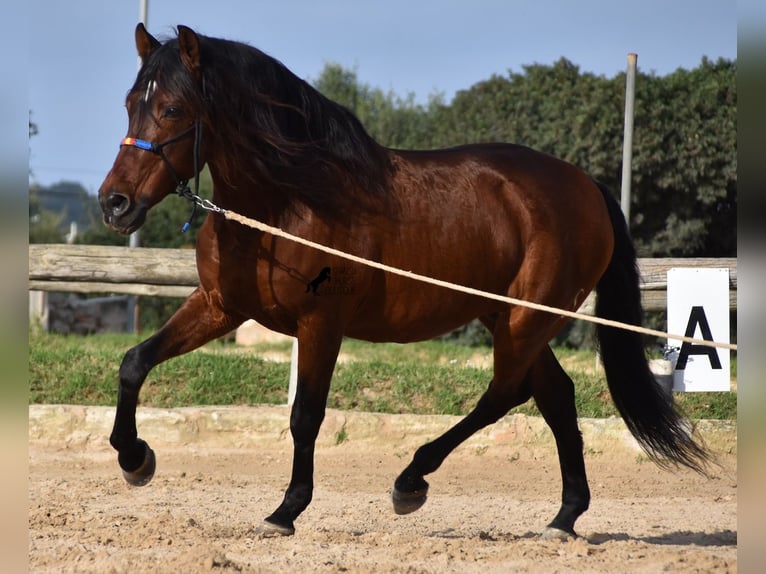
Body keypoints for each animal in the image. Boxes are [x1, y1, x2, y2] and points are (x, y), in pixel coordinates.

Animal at [99, 24, 712, 544]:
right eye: (130, 104)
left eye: (172, 108)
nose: (115, 204)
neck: (286, 202)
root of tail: (586, 186)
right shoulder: (220, 307)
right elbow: (134, 362)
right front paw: (135, 460)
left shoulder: (320, 324)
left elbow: (306, 416)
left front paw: (286, 511)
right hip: (508, 316)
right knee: (555, 396)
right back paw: (563, 518)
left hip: (528, 316)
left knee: (506, 394)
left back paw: (411, 481)